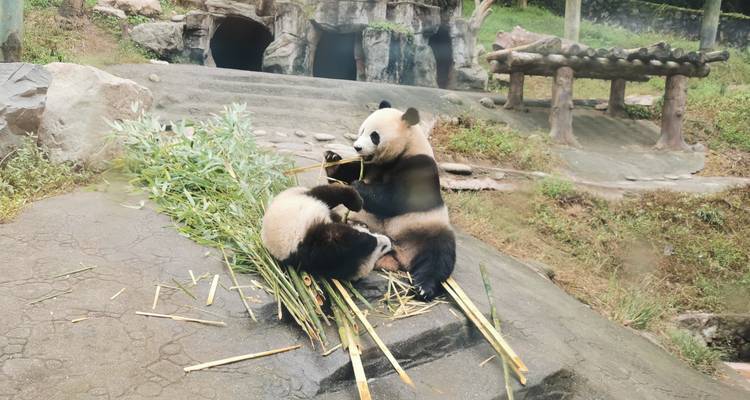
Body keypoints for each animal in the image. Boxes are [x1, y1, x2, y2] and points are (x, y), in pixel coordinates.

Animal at [261, 184, 393, 280]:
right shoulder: (317, 245)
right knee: (326, 193)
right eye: (381, 249)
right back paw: (356, 202)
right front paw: (366, 239)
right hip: (301, 201)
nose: (389, 243)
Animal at [324, 101, 456, 300]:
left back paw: (424, 287)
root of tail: (395, 255)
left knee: (439, 255)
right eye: (361, 130)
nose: (357, 147)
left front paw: (360, 186)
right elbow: (349, 173)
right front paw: (332, 160)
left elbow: (398, 199)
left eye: (374, 136)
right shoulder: (371, 165)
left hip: (426, 230)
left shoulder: (420, 165)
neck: (406, 148)